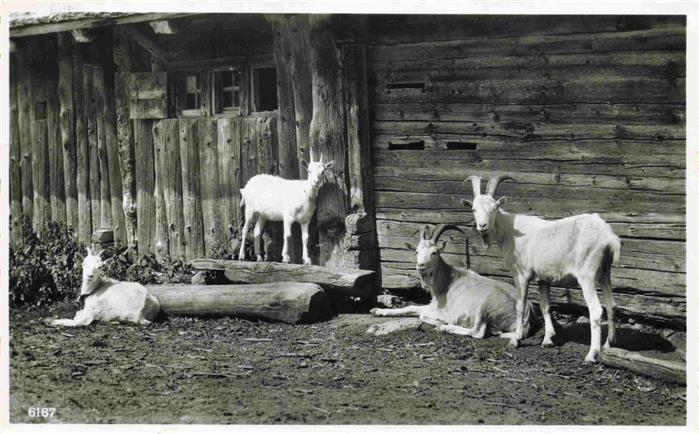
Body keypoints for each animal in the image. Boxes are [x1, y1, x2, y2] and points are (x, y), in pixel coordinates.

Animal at [369, 224, 536, 339]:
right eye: (416, 251)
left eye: (434, 252)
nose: (421, 265)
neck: (446, 283)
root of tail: (526, 316)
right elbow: (411, 307)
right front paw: (377, 310)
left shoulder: (444, 312)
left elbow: (422, 315)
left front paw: (440, 324)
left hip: (485, 306)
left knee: (477, 331)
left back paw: (446, 328)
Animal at [461, 175, 620, 362]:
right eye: (473, 209)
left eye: (494, 208)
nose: (482, 226)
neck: (511, 232)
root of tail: (609, 237)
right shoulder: (544, 278)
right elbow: (545, 306)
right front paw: (547, 340)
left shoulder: (521, 275)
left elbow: (520, 306)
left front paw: (516, 340)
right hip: (605, 272)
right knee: (611, 305)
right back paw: (608, 345)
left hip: (587, 275)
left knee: (596, 310)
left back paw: (591, 354)